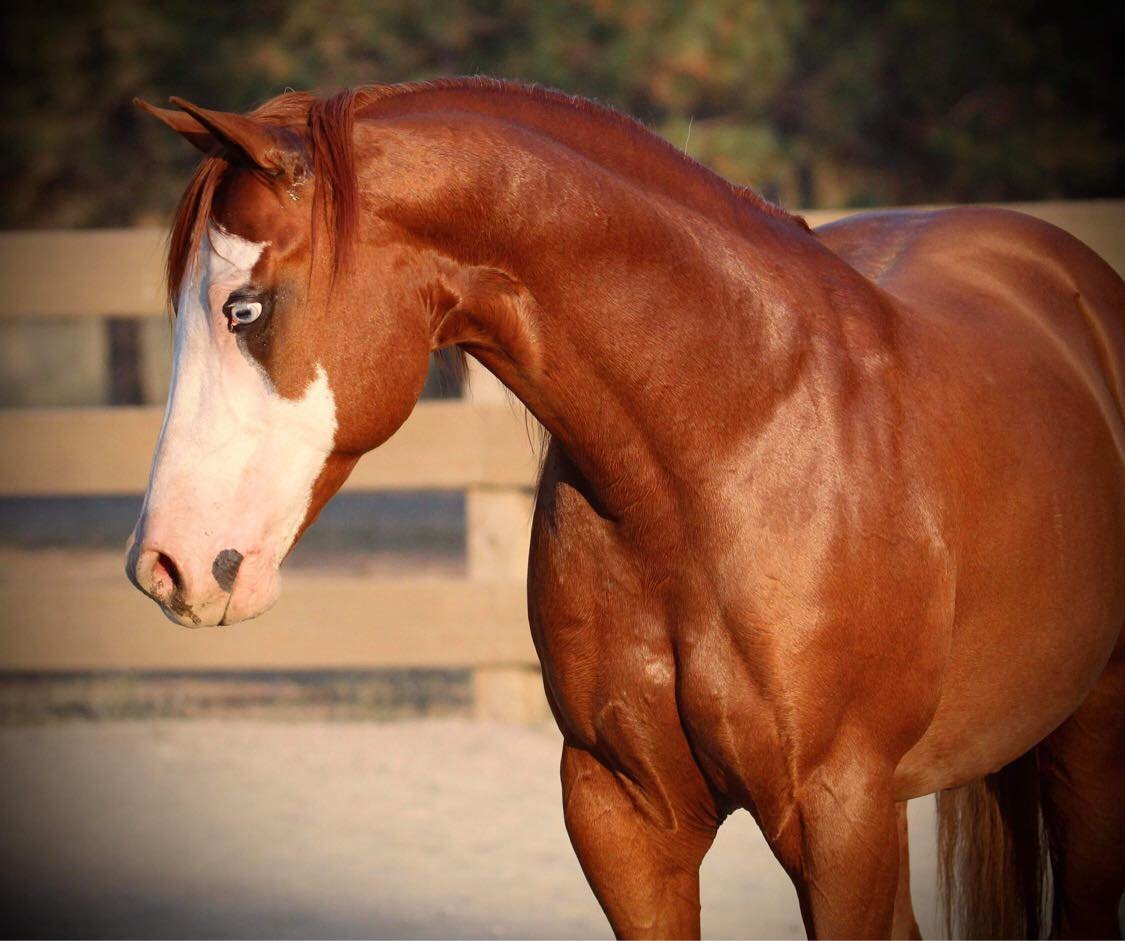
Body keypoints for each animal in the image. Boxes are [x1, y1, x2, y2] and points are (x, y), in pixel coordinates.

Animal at [127, 79, 1124, 939]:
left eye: (245, 309)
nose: (163, 565)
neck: (728, 435)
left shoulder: (842, 816)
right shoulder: (621, 813)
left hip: (1085, 738)